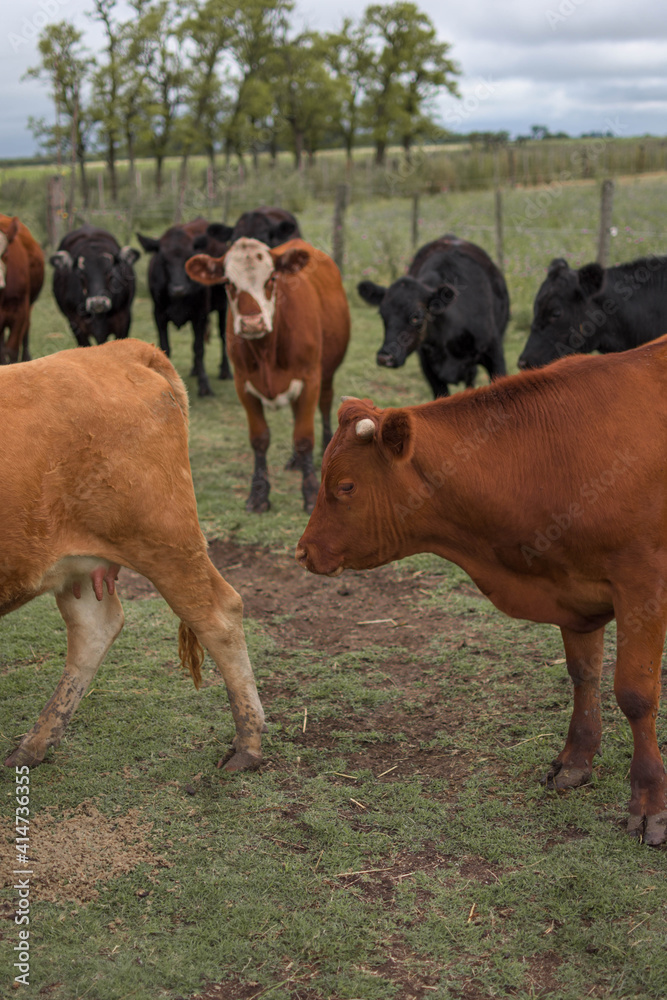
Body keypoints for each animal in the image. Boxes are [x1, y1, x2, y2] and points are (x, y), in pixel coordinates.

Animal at [1, 342, 264, 772]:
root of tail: (120, 350)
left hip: (166, 543)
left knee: (220, 615)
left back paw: (248, 744)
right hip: (79, 563)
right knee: (94, 629)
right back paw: (34, 744)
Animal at [136, 217, 235, 396]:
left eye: (188, 258)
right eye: (164, 260)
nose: (178, 289)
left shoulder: (200, 315)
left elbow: (199, 348)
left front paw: (204, 385)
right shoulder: (158, 315)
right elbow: (166, 347)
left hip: (223, 305)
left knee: (223, 336)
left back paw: (225, 371)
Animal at [184, 238, 350, 512]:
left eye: (272, 278)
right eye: (228, 282)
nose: (253, 323)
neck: (266, 351)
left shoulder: (310, 380)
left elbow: (304, 437)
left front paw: (310, 492)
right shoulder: (243, 384)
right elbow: (259, 438)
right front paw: (259, 493)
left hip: (327, 373)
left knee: (325, 405)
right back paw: (295, 461)